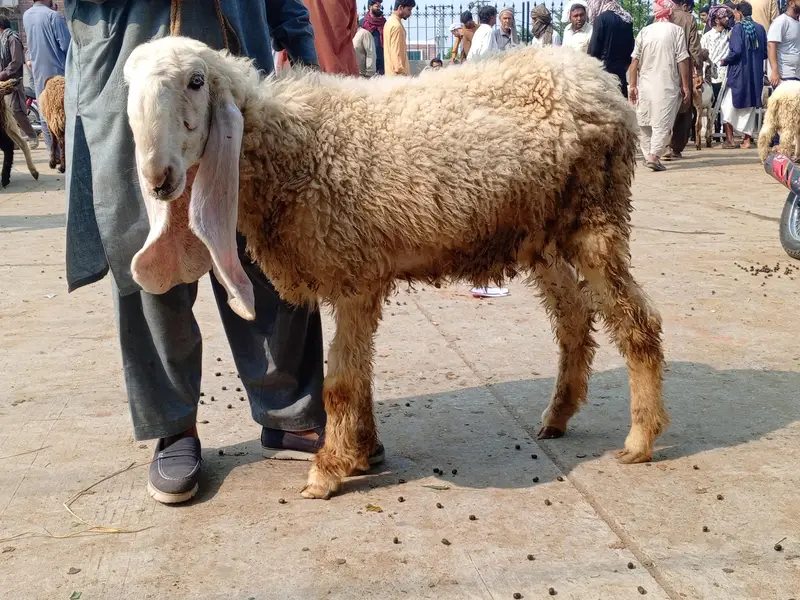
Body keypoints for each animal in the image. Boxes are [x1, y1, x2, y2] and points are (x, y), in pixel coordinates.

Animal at [123, 37, 667, 499]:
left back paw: (641, 438)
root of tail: (601, 77)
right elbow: (359, 376)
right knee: (574, 320)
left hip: (594, 217)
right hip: (544, 235)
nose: (157, 179)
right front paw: (361, 452)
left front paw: (328, 470)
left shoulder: (355, 274)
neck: (292, 145)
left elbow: (342, 384)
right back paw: (557, 416)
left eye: (196, 81)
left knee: (638, 322)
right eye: (127, 88)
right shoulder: (360, 272)